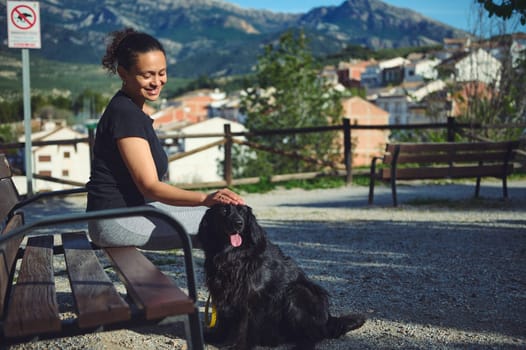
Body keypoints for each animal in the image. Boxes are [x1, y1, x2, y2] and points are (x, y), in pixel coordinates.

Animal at [196, 204, 366, 348]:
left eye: (242, 212)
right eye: (224, 211)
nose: (238, 223)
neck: (233, 255)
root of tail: (328, 319)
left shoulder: (251, 297)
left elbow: (245, 326)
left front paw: (239, 346)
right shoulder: (221, 292)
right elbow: (222, 321)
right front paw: (216, 337)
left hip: (297, 292)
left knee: (313, 335)